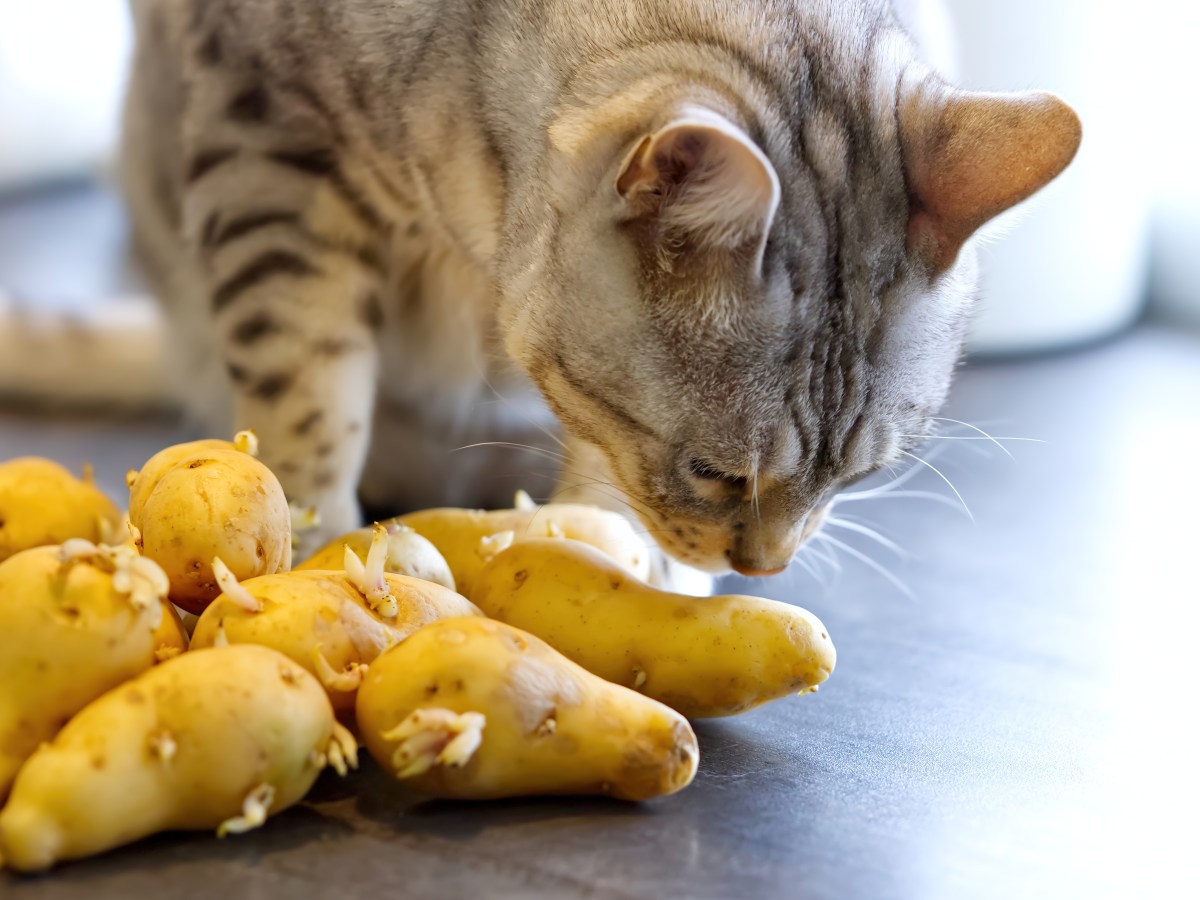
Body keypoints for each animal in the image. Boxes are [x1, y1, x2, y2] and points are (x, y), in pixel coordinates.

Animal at [117, 0, 1084, 592]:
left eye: (862, 478)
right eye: (718, 474)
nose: (765, 573)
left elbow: (597, 464)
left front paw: (616, 553)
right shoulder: (266, 142)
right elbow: (307, 393)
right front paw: (307, 543)